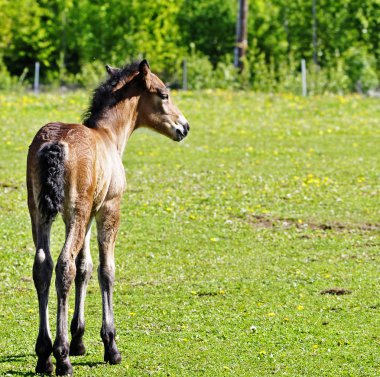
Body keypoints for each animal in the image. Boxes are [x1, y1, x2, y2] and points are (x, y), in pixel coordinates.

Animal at [26, 60, 189, 374]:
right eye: (164, 94)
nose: (184, 127)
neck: (108, 136)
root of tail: (55, 145)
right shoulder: (109, 209)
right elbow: (105, 270)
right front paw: (110, 344)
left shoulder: (87, 214)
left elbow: (85, 266)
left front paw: (79, 340)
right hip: (75, 213)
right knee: (63, 266)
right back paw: (61, 357)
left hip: (40, 212)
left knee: (43, 265)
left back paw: (44, 355)